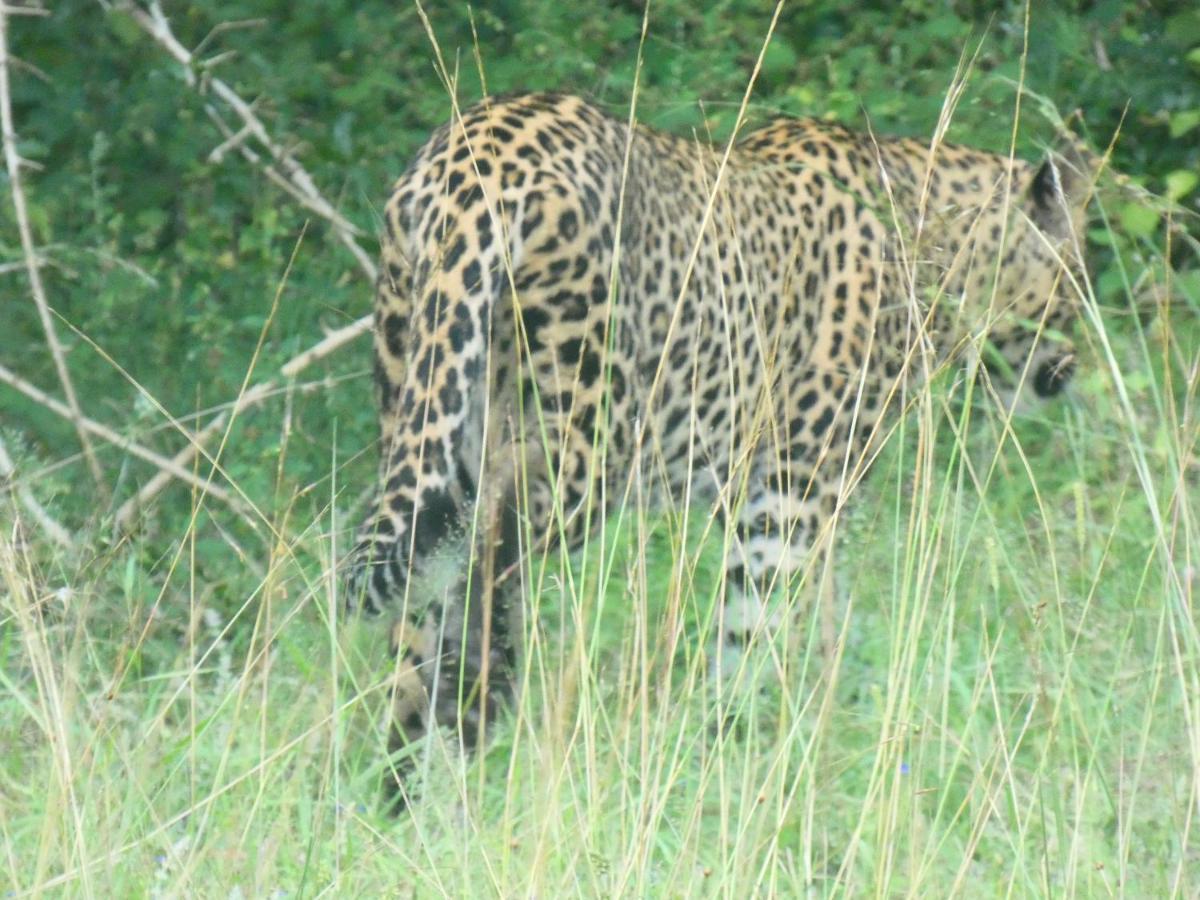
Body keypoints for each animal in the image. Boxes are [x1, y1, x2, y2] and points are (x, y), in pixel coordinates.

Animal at [343, 95, 1094, 806]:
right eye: (1079, 273)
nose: (1077, 358)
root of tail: (470, 160)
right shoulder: (799, 486)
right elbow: (771, 627)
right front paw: (772, 754)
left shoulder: (751, 490)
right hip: (582, 443)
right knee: (479, 543)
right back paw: (481, 702)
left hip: (418, 399)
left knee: (420, 595)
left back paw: (410, 785)